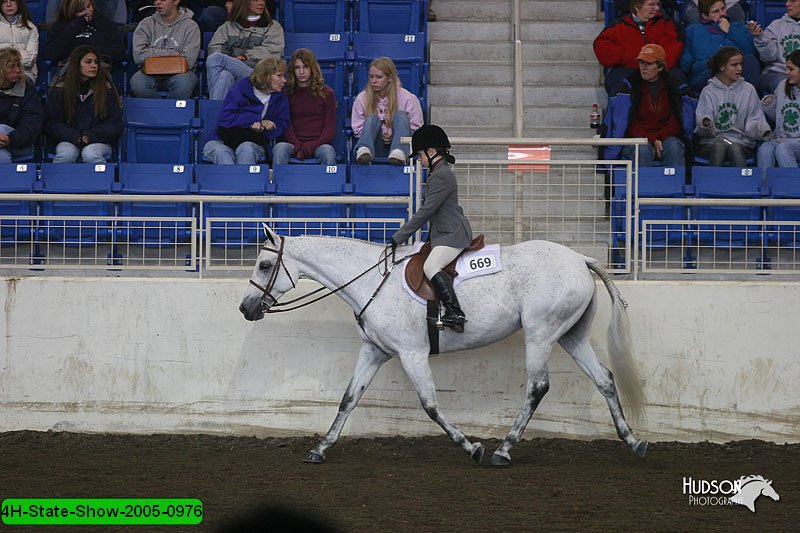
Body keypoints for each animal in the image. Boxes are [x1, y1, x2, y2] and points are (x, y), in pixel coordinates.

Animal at [241, 229, 648, 466]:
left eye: (265, 265)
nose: (246, 309)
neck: (372, 282)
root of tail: (580, 258)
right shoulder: (374, 352)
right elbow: (349, 398)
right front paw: (321, 448)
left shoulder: (412, 354)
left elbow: (430, 405)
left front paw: (471, 447)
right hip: (570, 336)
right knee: (605, 379)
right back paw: (633, 441)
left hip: (541, 334)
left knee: (538, 387)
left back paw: (503, 450)